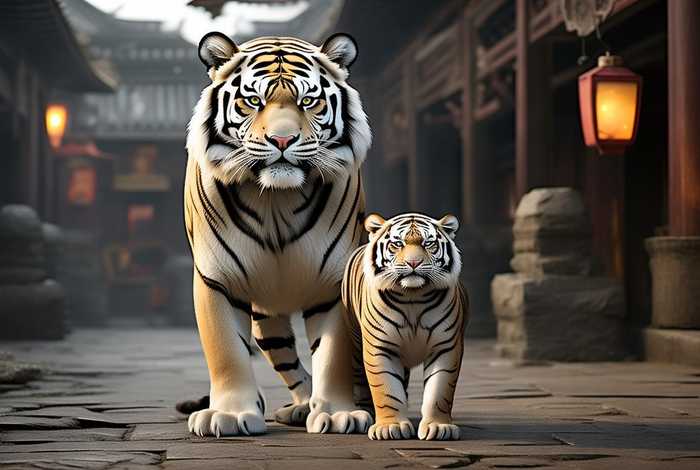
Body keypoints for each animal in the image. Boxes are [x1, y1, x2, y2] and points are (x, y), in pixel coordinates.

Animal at [183, 32, 373, 437]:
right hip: (266, 320)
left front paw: (339, 414)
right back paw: (300, 407)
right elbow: (226, 351)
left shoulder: (333, 284)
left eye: (309, 101)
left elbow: (333, 355)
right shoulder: (216, 279)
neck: (276, 200)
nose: (282, 141)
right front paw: (230, 415)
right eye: (253, 100)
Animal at [341, 212, 468, 440]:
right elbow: (386, 389)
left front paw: (438, 427)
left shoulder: (446, 347)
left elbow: (440, 390)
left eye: (428, 243)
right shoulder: (380, 348)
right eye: (397, 244)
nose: (414, 262)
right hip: (354, 341)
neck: (413, 297)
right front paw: (389, 427)